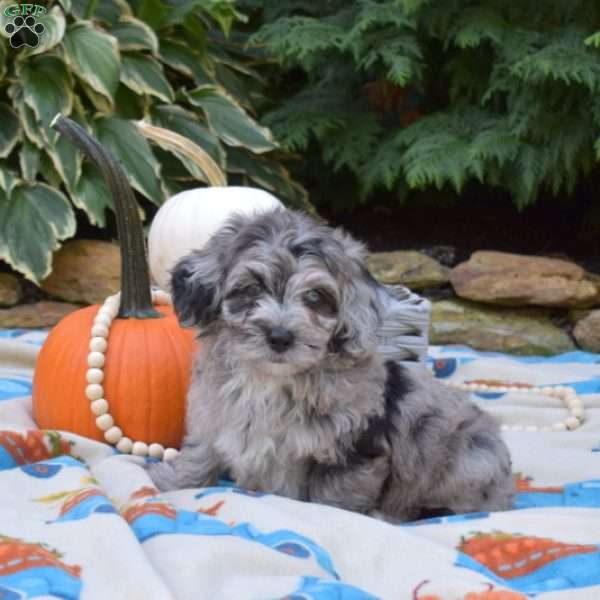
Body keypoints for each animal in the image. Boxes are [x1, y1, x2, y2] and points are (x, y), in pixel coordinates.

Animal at [148, 209, 512, 524]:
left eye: (314, 297)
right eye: (251, 288)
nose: (280, 337)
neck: (270, 381)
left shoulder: (353, 454)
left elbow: (334, 500)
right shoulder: (213, 418)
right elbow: (199, 455)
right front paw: (171, 484)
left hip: (471, 462)